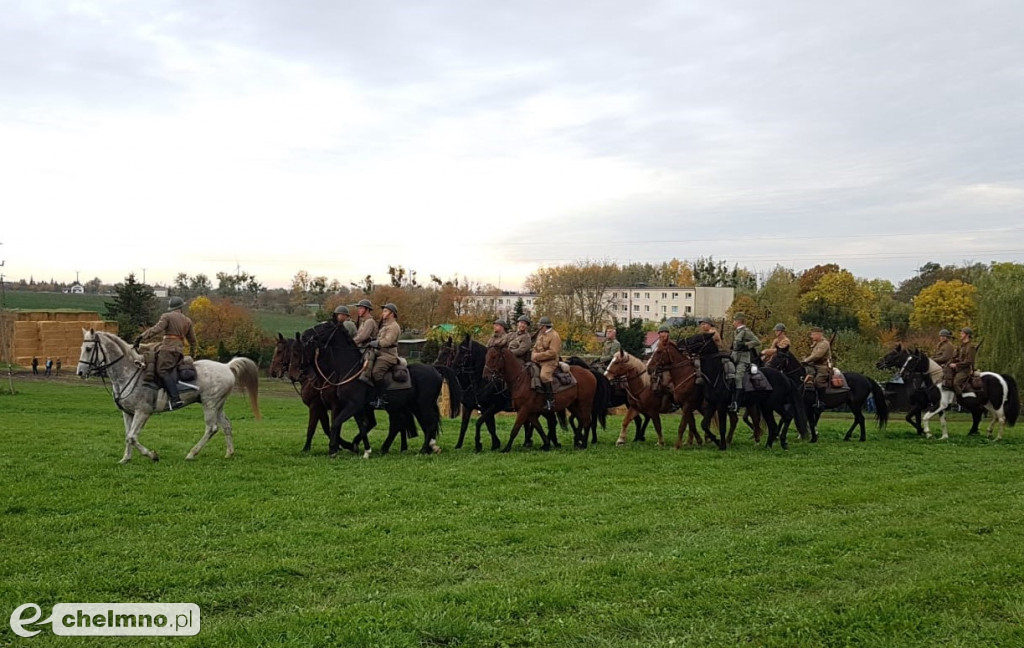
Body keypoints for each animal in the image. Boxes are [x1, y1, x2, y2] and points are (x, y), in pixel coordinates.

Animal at [78, 331, 262, 462]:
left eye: (88, 349)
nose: (80, 372)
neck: (129, 372)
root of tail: (227, 366)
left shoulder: (143, 412)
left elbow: (132, 436)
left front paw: (152, 455)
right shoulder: (128, 413)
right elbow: (128, 436)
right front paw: (126, 459)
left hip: (209, 404)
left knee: (212, 428)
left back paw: (191, 454)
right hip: (218, 405)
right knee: (226, 426)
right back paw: (229, 453)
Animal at [876, 343, 1019, 440]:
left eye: (893, 354)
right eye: (906, 359)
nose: (878, 364)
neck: (936, 380)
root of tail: (1001, 376)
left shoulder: (933, 405)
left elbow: (923, 417)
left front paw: (926, 432)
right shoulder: (936, 406)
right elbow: (941, 422)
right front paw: (941, 436)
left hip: (995, 403)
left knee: (1000, 418)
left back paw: (996, 438)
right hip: (987, 403)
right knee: (991, 416)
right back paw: (985, 432)